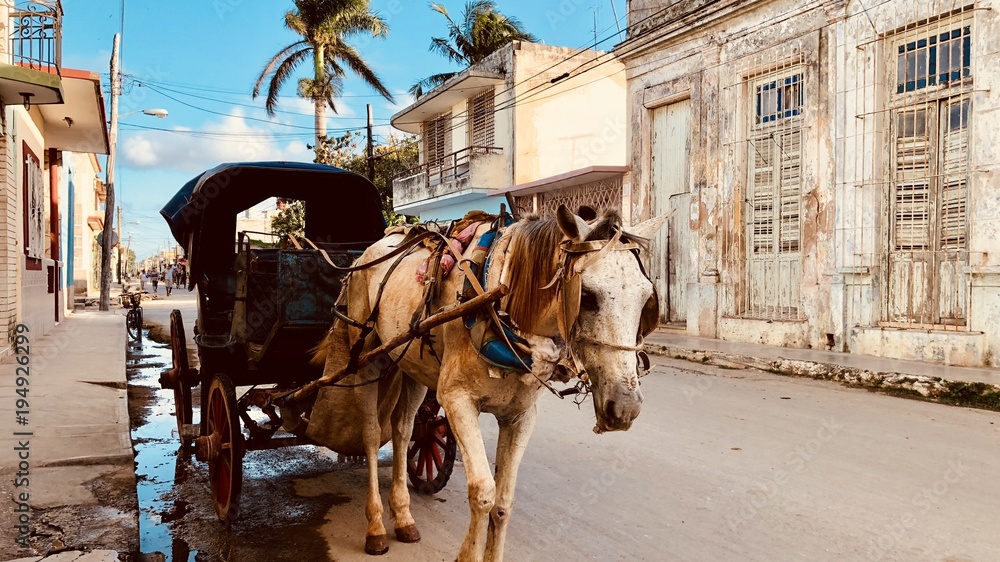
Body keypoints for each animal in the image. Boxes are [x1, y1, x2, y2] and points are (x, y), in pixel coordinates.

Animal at [312, 206, 672, 560]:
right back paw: (375, 527)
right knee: (372, 435)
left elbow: (503, 502)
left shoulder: (521, 416)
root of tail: (368, 252)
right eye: (587, 296)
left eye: (646, 299)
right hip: (365, 358)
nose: (625, 407)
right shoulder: (456, 400)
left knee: (402, 431)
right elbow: (483, 493)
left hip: (410, 363)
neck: (498, 303)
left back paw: (403, 517)